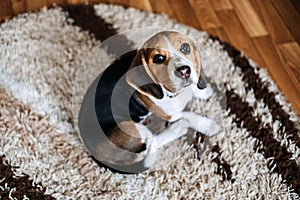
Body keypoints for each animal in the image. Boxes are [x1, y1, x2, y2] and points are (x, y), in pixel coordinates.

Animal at [91, 31, 218, 173]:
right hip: (133, 128)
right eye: (159, 58)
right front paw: (208, 125)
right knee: (153, 142)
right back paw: (178, 129)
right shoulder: (169, 114)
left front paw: (202, 91)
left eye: (185, 48)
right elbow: (188, 114)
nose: (185, 71)